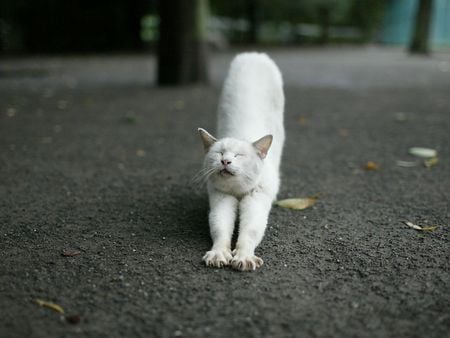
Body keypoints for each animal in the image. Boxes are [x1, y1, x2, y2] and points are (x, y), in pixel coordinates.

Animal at [196, 51, 284, 270]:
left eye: (238, 156)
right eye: (219, 153)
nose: (225, 161)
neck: (237, 191)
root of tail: (254, 54)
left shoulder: (256, 200)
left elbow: (250, 231)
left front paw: (244, 257)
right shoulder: (221, 198)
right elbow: (220, 228)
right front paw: (219, 254)